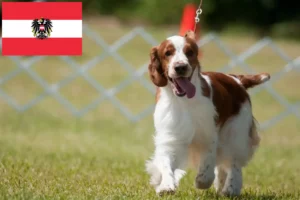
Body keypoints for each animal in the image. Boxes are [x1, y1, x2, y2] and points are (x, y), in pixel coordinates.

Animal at [145, 31, 270, 197]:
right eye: (167, 53)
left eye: (190, 52)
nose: (180, 67)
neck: (184, 101)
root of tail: (237, 79)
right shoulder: (171, 136)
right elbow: (166, 163)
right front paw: (165, 186)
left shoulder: (208, 135)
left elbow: (207, 166)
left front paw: (202, 180)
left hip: (236, 131)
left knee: (234, 162)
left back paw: (231, 188)